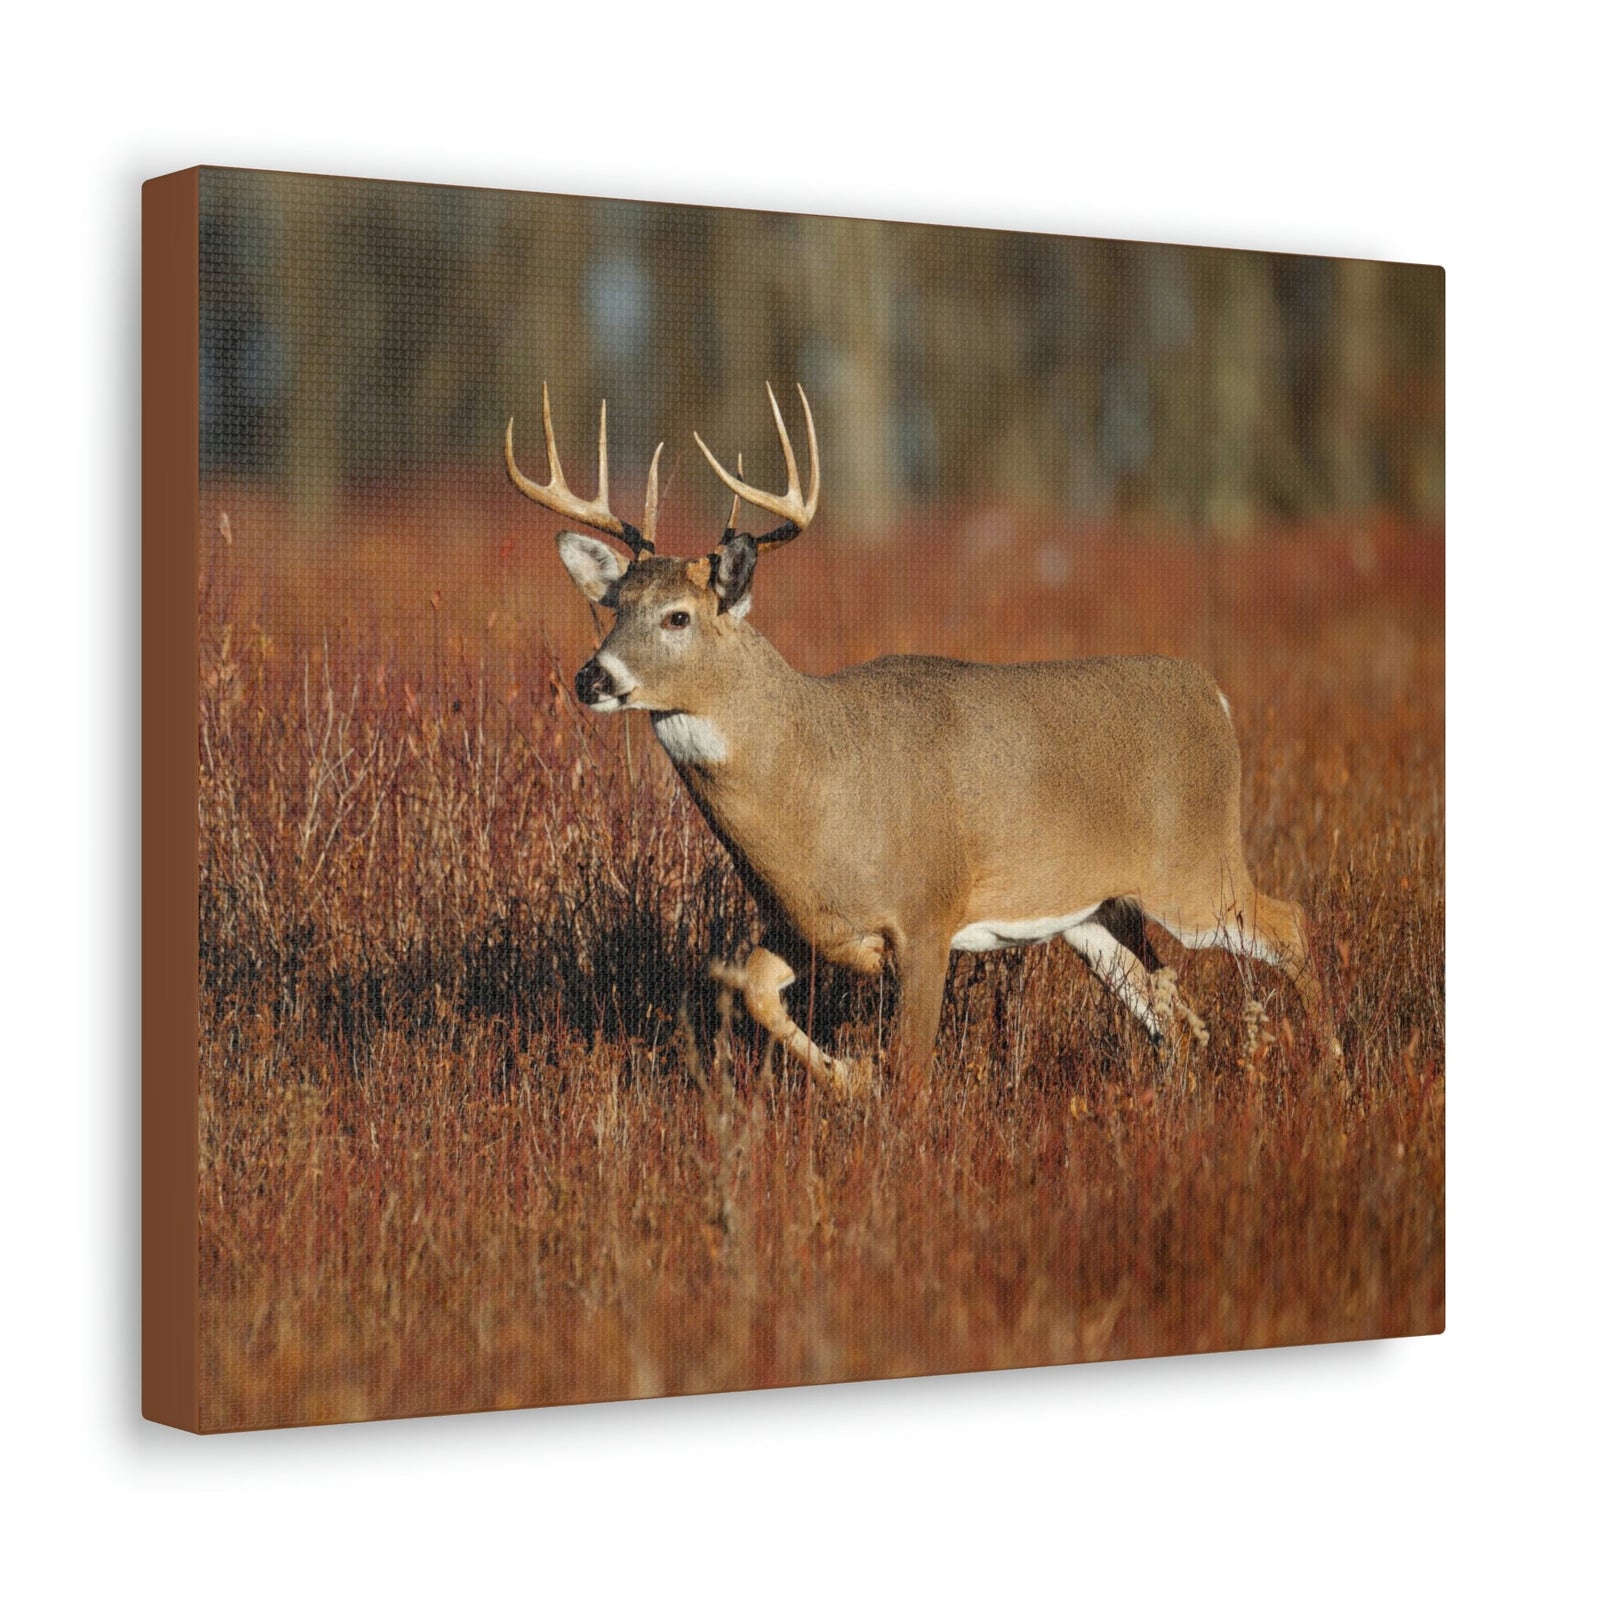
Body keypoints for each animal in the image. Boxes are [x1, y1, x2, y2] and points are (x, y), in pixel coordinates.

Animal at [506, 382, 1342, 1097]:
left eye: (677, 616)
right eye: (614, 607)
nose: (592, 676)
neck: (813, 784)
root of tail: (1216, 696)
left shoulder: (927, 912)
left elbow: (912, 1071)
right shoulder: (808, 925)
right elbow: (753, 990)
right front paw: (850, 1077)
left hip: (1194, 869)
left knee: (1290, 925)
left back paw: (1331, 1068)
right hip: (1097, 910)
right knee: (1171, 1008)